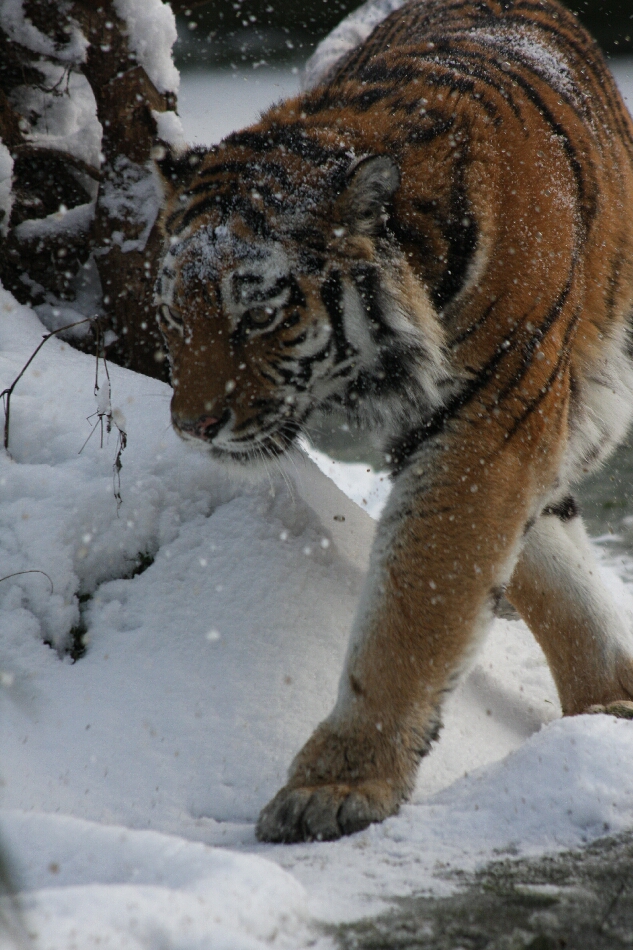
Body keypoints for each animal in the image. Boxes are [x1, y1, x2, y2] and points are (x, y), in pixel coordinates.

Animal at [154, 0, 633, 843]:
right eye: (176, 315)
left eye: (259, 314)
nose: (192, 425)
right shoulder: (489, 428)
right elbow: (537, 570)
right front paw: (606, 703)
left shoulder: (488, 424)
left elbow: (416, 610)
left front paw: (337, 786)